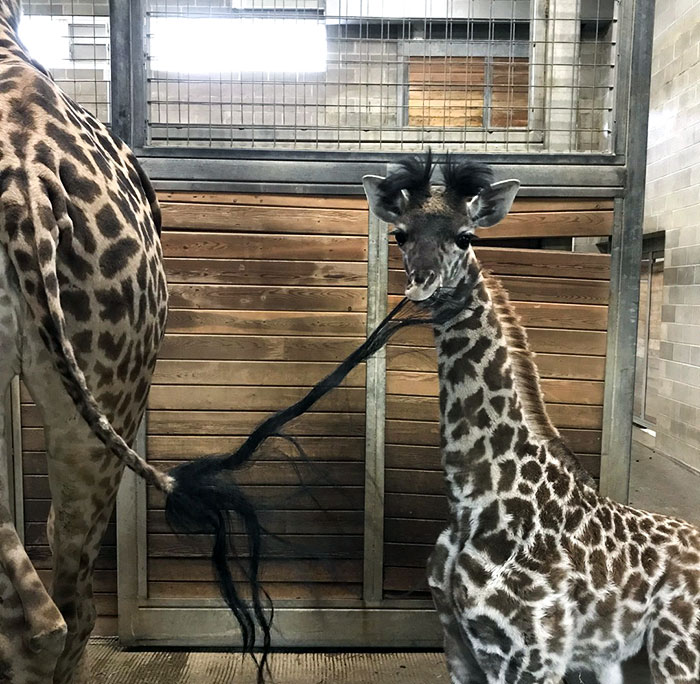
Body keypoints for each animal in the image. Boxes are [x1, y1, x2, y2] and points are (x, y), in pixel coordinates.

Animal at [363, 153, 700, 684]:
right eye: (399, 233)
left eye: (466, 236)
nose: (423, 282)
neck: (473, 497)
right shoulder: (458, 644)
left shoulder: (528, 654)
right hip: (630, 659)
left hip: (678, 649)